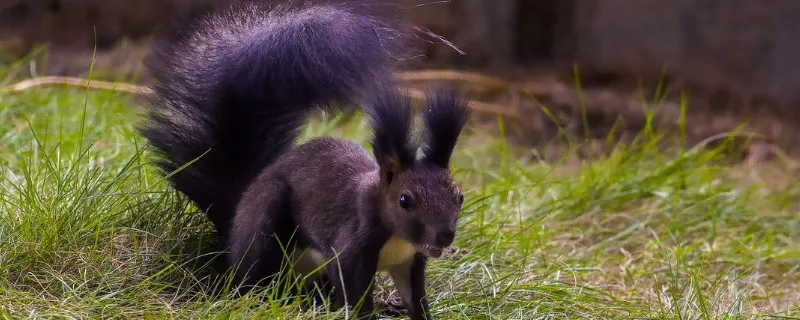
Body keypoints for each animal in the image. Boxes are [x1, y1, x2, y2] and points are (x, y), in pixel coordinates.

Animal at [141, 0, 472, 320]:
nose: (445, 235)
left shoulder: (409, 259)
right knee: (252, 275)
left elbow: (415, 297)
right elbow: (353, 293)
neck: (396, 235)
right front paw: (363, 314)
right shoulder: (351, 247)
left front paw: (417, 312)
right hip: (265, 219)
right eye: (405, 200)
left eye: (460, 197)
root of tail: (234, 220)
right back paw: (258, 295)